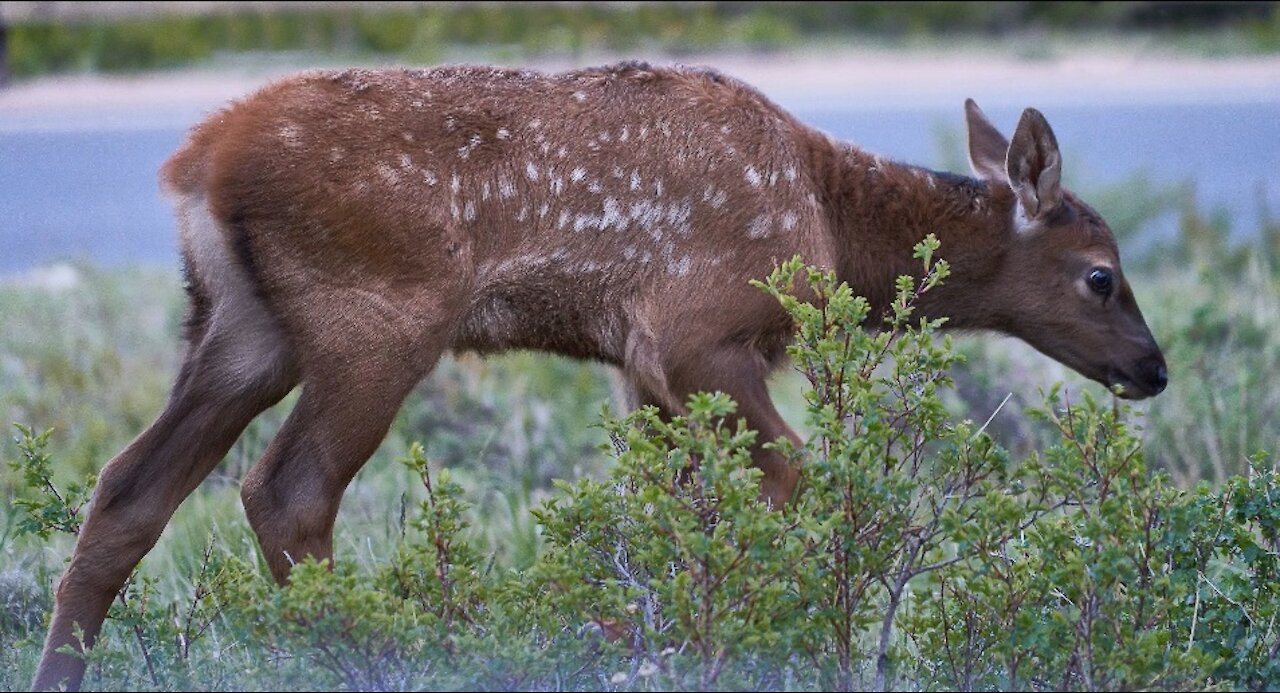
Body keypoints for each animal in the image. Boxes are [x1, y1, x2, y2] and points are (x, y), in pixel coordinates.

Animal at [30, 62, 1172, 686]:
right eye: (1100, 275)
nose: (1152, 369)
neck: (831, 230)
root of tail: (196, 161)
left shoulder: (637, 366)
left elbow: (667, 511)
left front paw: (649, 638)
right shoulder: (696, 333)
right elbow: (786, 480)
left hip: (239, 329)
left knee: (129, 489)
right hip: (376, 321)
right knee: (286, 489)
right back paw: (383, 651)